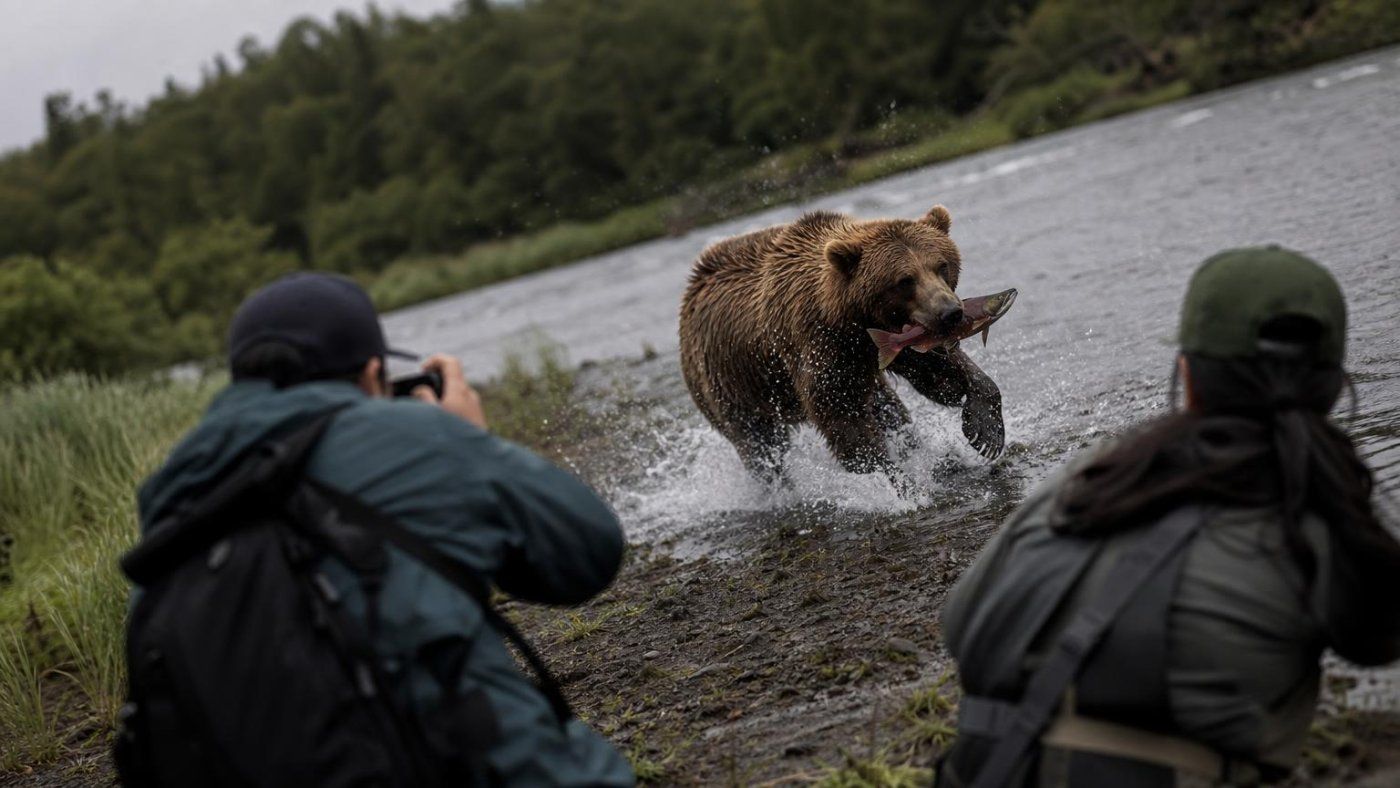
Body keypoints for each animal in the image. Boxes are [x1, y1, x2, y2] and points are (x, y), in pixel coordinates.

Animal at [678, 204, 1006, 485]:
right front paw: (894, 479)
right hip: (731, 386)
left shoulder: (891, 342)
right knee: (760, 446)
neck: (853, 320)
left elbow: (940, 373)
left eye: (942, 265)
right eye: (905, 280)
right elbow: (842, 418)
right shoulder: (819, 347)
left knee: (890, 410)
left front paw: (986, 433)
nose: (950, 313)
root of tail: (691, 289)